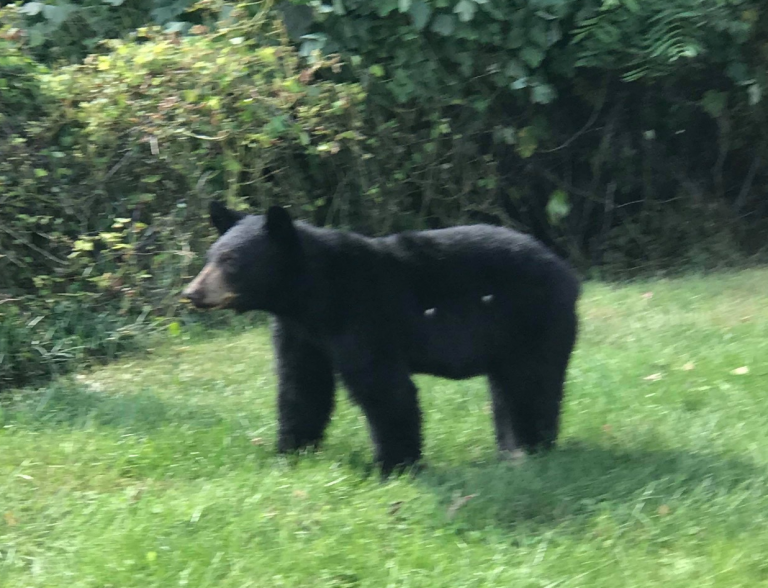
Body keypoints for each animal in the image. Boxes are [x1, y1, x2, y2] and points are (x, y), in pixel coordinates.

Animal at [186, 202, 580, 474]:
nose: (192, 292)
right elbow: (302, 387)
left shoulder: (363, 315)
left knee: (532, 384)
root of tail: (568, 273)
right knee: (506, 391)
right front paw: (288, 452)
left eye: (230, 259)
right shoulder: (299, 332)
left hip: (533, 321)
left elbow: (383, 387)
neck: (312, 296)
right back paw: (511, 450)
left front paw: (394, 466)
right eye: (210, 256)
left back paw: (530, 450)